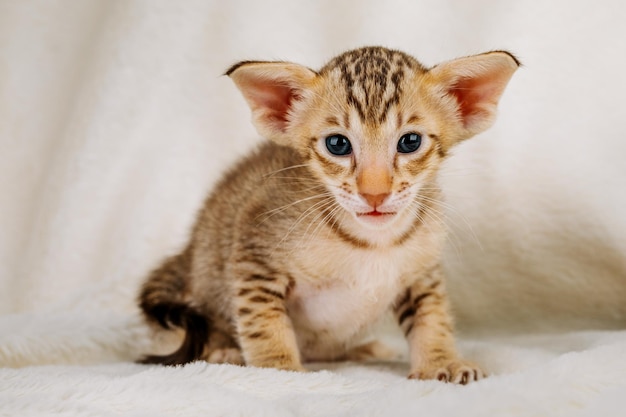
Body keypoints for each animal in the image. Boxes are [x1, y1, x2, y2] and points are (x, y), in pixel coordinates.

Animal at [138, 46, 516, 384]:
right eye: (338, 144)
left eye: (410, 142)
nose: (374, 193)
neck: (373, 242)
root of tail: (187, 252)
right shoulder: (253, 251)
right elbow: (264, 322)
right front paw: (278, 369)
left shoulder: (422, 272)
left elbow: (432, 317)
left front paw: (441, 361)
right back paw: (224, 351)